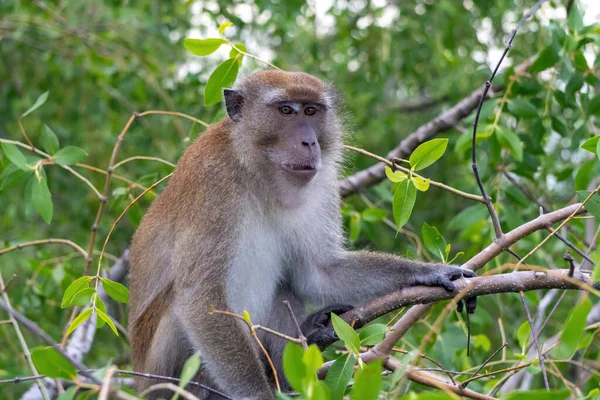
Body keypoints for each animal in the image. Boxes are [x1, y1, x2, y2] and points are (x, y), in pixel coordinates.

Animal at [129, 70, 476, 398]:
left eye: (311, 111)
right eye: (286, 110)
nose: (309, 142)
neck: (258, 174)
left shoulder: (322, 186)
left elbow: (319, 273)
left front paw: (427, 272)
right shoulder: (211, 183)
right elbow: (201, 297)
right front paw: (259, 395)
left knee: (284, 289)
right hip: (159, 374)